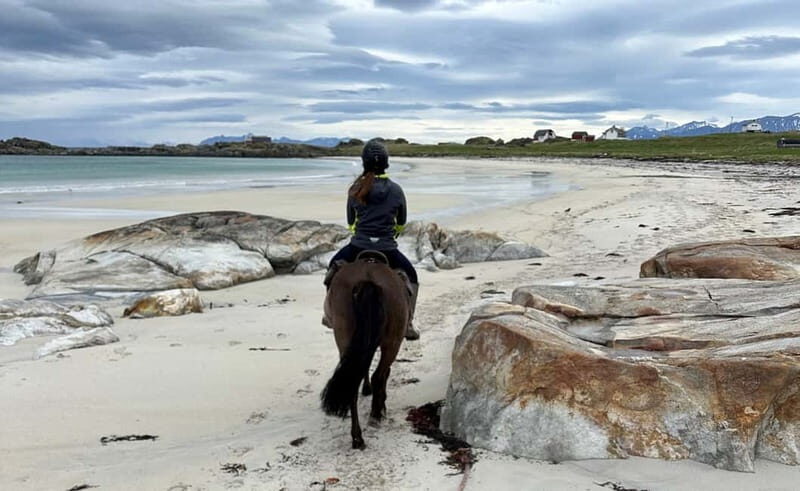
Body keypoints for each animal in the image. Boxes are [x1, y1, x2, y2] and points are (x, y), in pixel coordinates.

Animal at [320, 251, 410, 449]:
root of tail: (368, 278)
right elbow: (383, 373)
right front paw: (381, 403)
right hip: (393, 342)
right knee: (379, 375)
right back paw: (376, 414)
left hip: (345, 337)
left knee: (352, 383)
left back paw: (357, 438)